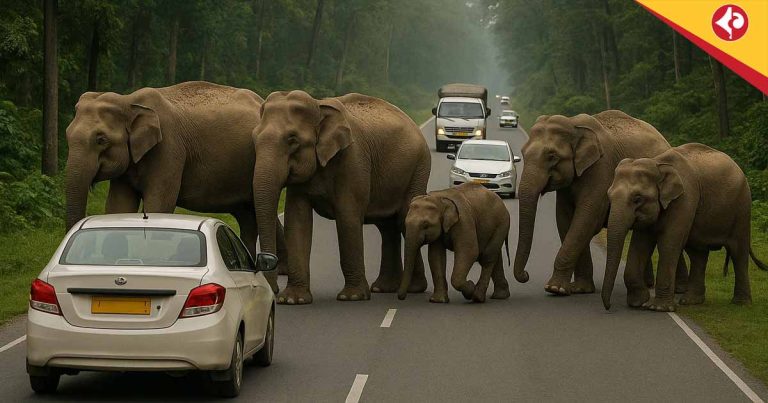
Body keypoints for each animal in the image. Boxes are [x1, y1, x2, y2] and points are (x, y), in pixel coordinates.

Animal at [64, 81, 287, 291]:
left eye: (101, 139)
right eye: (66, 134)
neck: (129, 101)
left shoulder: (169, 148)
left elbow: (159, 203)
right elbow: (118, 206)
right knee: (250, 215)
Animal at [251, 90, 431, 304]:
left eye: (292, 140)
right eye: (254, 138)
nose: (273, 290)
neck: (319, 106)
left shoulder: (353, 159)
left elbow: (348, 217)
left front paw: (351, 297)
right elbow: (297, 220)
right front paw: (292, 300)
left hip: (418, 168)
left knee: (404, 219)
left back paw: (414, 289)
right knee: (387, 227)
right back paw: (383, 288)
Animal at [512, 110, 689, 295]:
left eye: (552, 157)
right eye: (523, 153)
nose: (526, 275)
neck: (573, 124)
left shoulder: (601, 169)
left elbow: (586, 219)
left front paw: (555, 288)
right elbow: (565, 220)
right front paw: (580, 289)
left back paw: (677, 289)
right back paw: (649, 285)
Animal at [602, 143, 768, 311]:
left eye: (637, 199)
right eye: (609, 196)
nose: (608, 307)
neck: (658, 164)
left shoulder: (685, 198)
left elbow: (668, 243)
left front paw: (658, 308)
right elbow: (640, 244)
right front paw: (638, 302)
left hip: (742, 208)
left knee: (738, 252)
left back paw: (741, 303)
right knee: (698, 253)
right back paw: (691, 301)